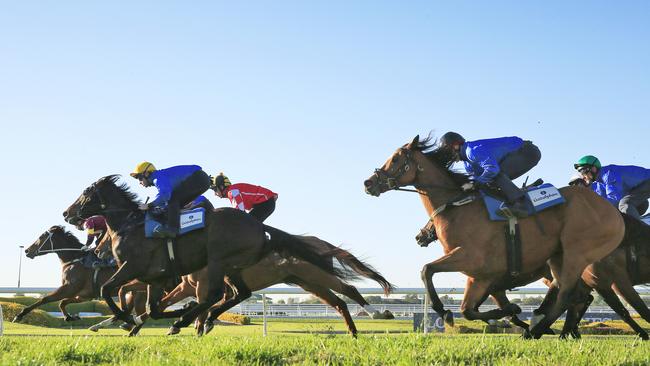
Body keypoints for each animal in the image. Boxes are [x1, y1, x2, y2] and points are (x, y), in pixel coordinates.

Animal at [13, 226, 146, 324]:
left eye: (41, 236)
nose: (27, 250)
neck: (74, 259)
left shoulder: (69, 288)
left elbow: (45, 299)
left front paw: (19, 315)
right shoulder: (83, 295)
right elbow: (63, 302)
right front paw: (70, 317)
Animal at [62, 176, 360, 334]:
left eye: (86, 192)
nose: (67, 213)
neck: (130, 225)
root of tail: (260, 227)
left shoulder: (133, 267)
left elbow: (108, 290)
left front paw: (127, 320)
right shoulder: (156, 278)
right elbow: (153, 308)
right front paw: (136, 321)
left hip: (220, 261)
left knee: (217, 296)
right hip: (238, 268)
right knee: (238, 294)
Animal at [364, 134, 624, 338]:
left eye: (396, 158)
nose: (368, 183)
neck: (458, 206)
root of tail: (613, 212)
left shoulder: (471, 258)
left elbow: (427, 270)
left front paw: (445, 312)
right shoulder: (480, 276)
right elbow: (468, 309)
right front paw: (508, 313)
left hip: (575, 253)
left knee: (568, 293)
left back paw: (541, 329)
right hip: (557, 260)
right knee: (575, 295)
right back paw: (552, 328)